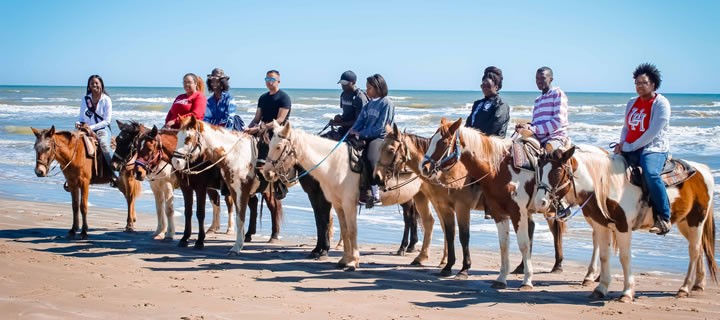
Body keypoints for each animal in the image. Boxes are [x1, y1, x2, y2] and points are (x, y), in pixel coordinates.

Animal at [262, 120, 434, 270]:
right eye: (268, 145)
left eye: (278, 146)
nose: (266, 172)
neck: (333, 163)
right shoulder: (337, 204)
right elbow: (343, 230)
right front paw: (344, 259)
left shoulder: (346, 203)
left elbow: (348, 229)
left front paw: (352, 261)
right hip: (419, 196)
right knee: (424, 220)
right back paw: (417, 254)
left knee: (410, 218)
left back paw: (406, 248)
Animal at [420, 118, 572, 290]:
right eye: (431, 140)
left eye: (443, 143)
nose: (424, 167)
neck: (499, 170)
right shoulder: (498, 213)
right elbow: (503, 244)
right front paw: (501, 278)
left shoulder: (516, 212)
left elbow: (522, 243)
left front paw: (527, 281)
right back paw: (522, 267)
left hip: (549, 209)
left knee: (556, 230)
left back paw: (557, 266)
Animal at [528, 144, 716, 302]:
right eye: (539, 170)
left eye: (558, 171)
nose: (539, 203)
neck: (606, 184)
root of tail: (703, 170)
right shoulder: (602, 226)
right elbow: (604, 256)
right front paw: (600, 289)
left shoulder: (623, 227)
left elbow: (625, 257)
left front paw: (627, 292)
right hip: (685, 222)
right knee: (699, 249)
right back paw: (698, 284)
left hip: (696, 220)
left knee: (694, 251)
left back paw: (684, 288)